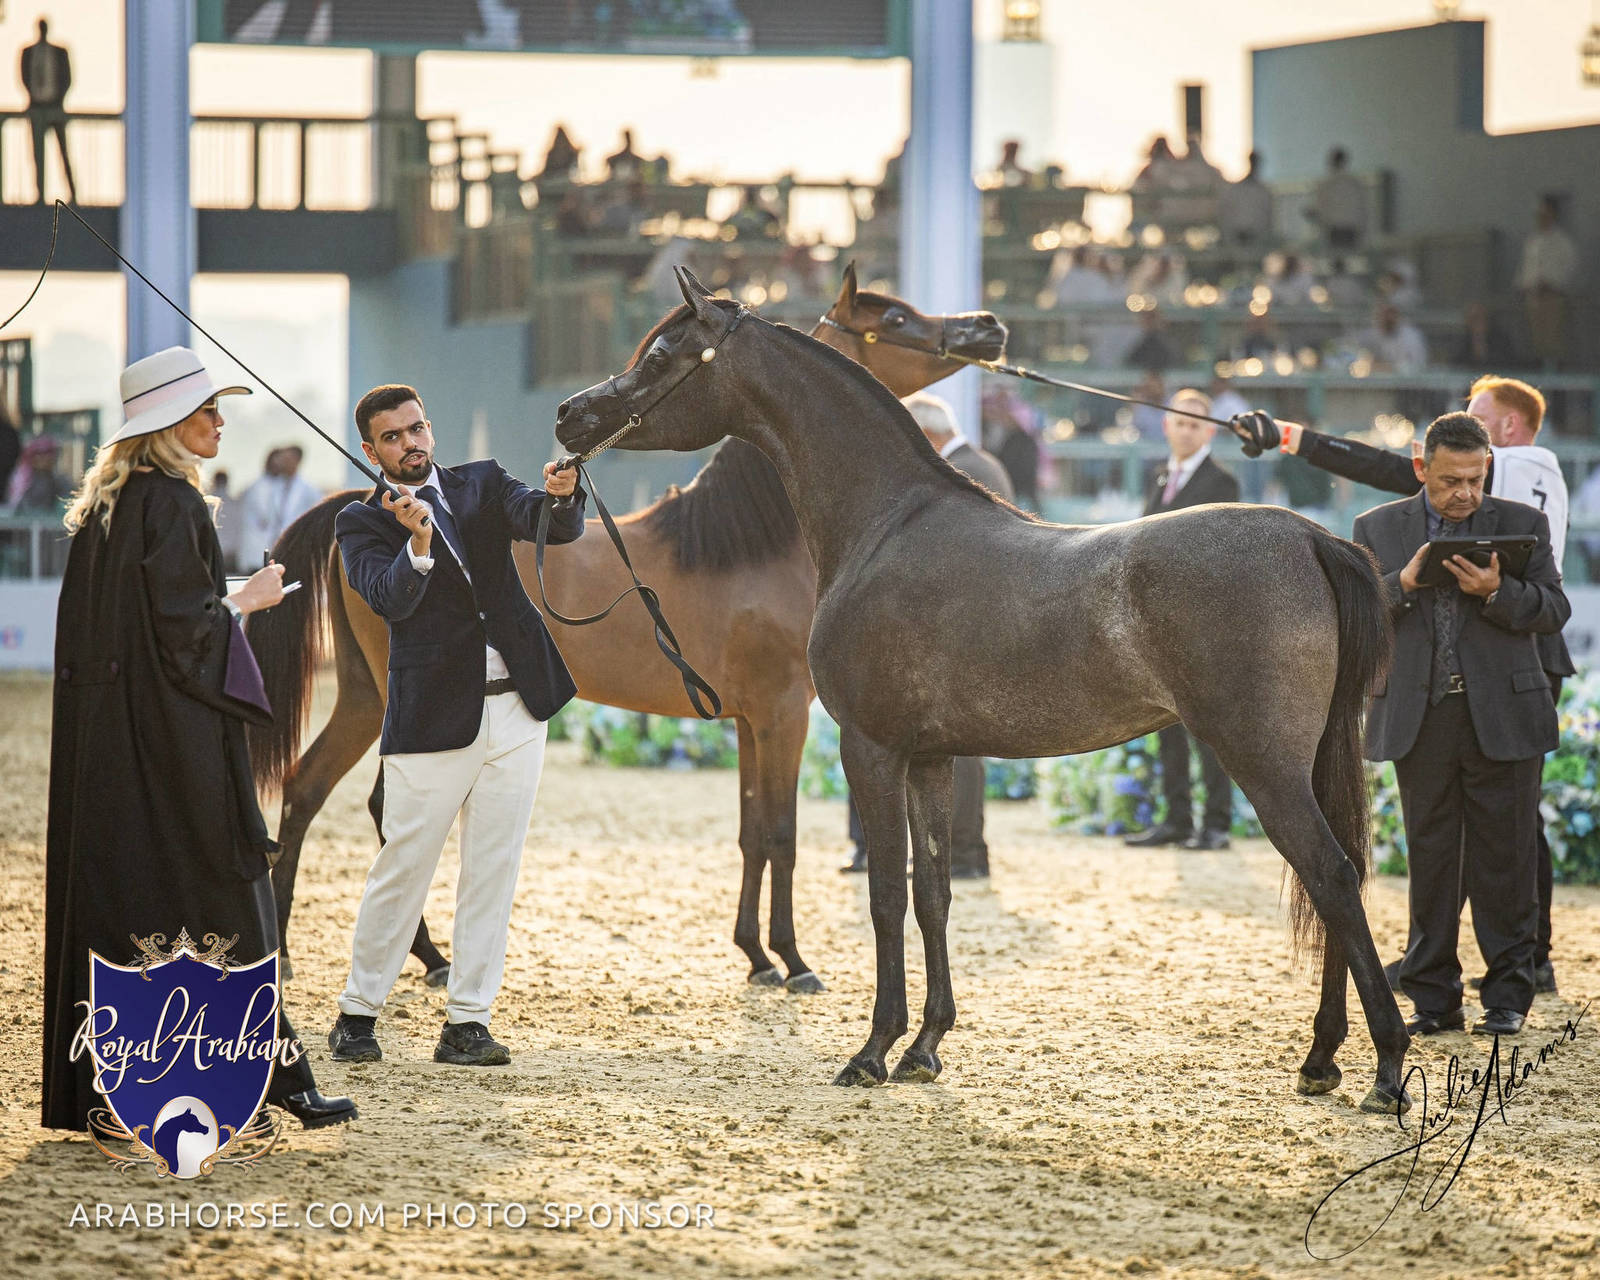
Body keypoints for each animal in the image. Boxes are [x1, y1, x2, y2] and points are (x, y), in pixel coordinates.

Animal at [245, 266, 1008, 994]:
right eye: (898, 318)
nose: (986, 327)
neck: (754, 544)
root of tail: (372, 501)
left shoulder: (747, 720)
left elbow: (752, 833)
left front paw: (756, 956)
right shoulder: (783, 712)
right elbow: (782, 836)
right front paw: (793, 962)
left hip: (365, 695)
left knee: (309, 788)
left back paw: (320, 955)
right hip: (402, 703)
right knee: (382, 808)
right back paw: (395, 956)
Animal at [552, 267, 1412, 1115]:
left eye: (662, 356)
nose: (569, 415)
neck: (886, 523)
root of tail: (1310, 536)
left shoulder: (870, 748)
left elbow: (884, 896)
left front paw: (872, 1050)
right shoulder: (930, 759)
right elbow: (932, 892)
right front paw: (925, 1047)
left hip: (1264, 765)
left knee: (1332, 876)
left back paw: (1385, 1069)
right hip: (1310, 761)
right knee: (1336, 880)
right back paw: (1322, 1058)